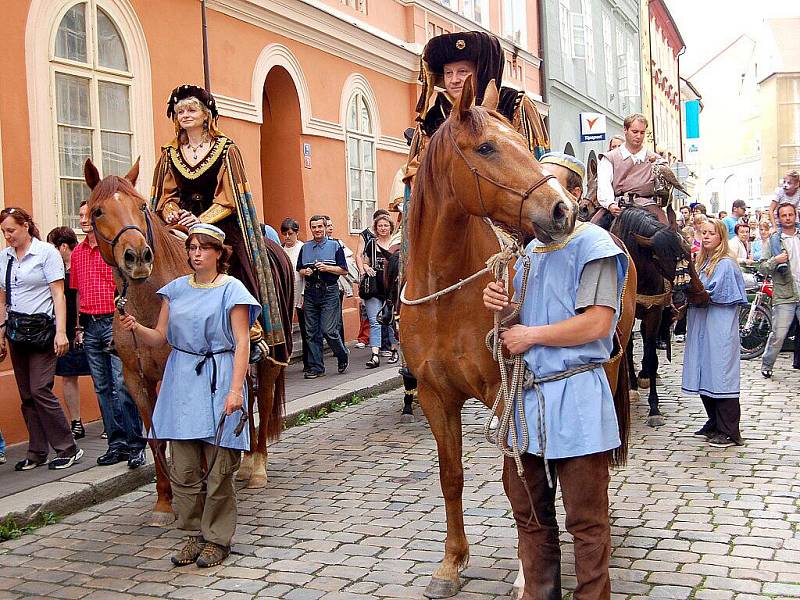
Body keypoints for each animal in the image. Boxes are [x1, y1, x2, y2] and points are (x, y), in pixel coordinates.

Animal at [404, 77, 640, 596]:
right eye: (487, 147)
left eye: (520, 141)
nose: (561, 210)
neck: (445, 295)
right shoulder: (434, 395)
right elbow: (452, 476)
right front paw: (451, 563)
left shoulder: (505, 390)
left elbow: (514, 480)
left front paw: (524, 573)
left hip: (611, 367)